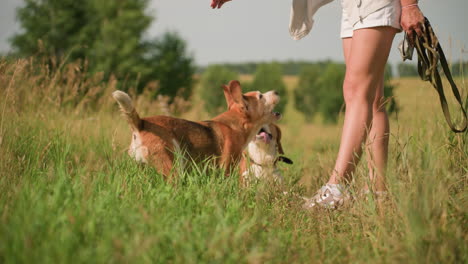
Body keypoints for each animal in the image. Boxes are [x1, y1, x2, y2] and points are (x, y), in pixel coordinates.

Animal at [112, 79, 282, 176]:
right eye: (260, 96)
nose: (277, 91)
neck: (236, 123)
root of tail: (141, 123)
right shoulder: (226, 169)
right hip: (172, 168)